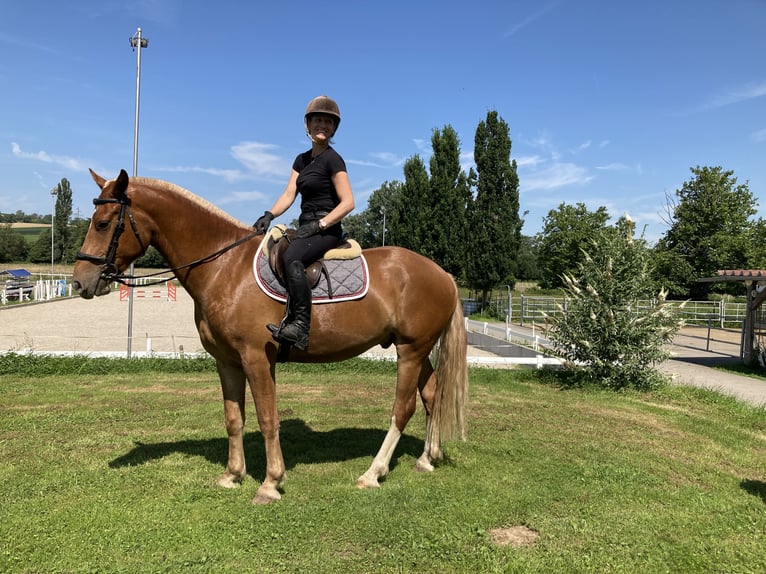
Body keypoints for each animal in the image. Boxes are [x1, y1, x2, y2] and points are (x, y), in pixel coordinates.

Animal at [73, 170, 468, 504]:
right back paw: (427, 459)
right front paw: (232, 475)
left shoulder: (256, 357)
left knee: (403, 408)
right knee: (432, 395)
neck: (224, 267)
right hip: (417, 350)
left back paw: (373, 473)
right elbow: (234, 418)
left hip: (411, 350)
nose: (79, 282)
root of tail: (442, 274)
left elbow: (267, 417)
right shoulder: (227, 361)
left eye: (103, 223)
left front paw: (270, 483)